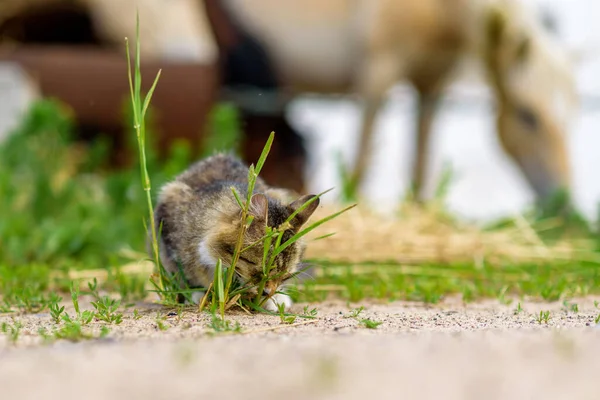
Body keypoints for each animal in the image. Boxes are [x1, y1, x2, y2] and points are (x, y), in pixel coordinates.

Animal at [151, 153, 318, 312]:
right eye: (259, 270)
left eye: (284, 276)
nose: (267, 292)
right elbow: (187, 274)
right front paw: (196, 294)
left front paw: (273, 300)